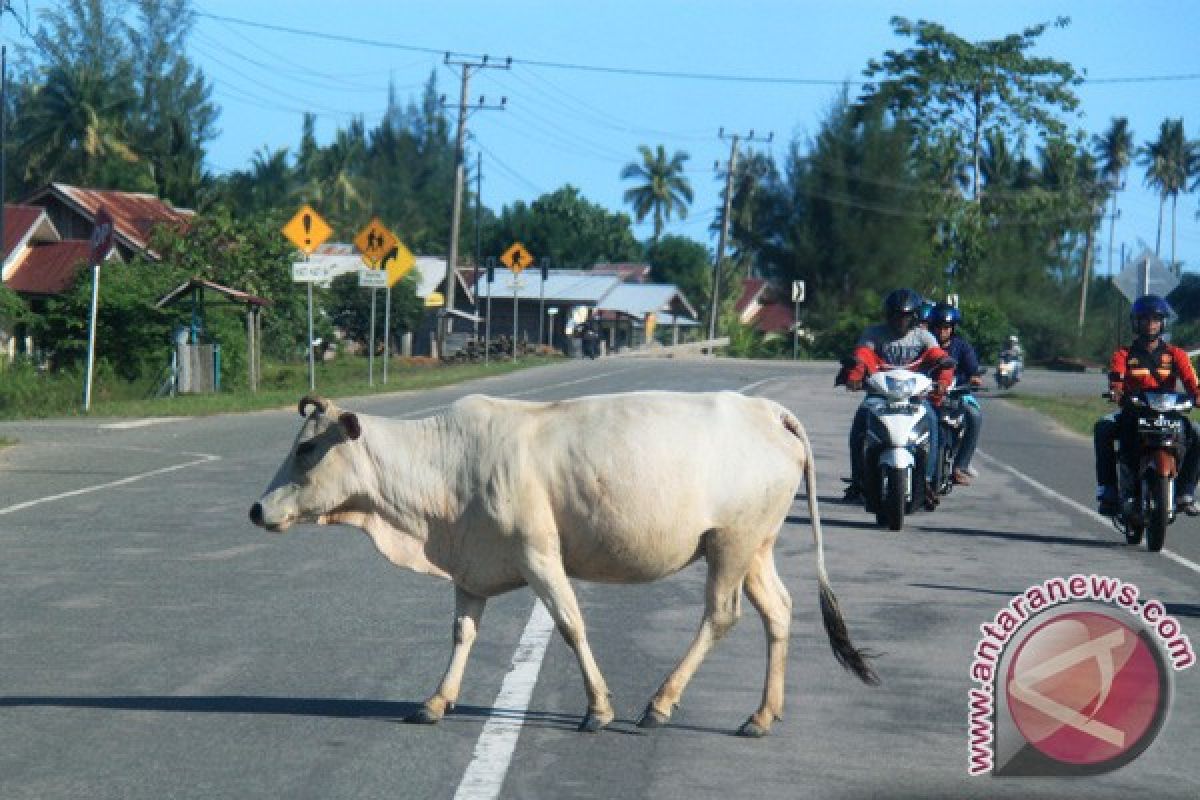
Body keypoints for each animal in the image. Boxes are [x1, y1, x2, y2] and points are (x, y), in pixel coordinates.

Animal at [248, 391, 878, 734]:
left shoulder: (539, 554)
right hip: (754, 548)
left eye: (307, 448)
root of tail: (769, 412)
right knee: (779, 611)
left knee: (721, 616)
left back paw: (660, 703)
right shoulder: (471, 564)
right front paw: (436, 700)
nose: (256, 508)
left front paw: (598, 708)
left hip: (730, 542)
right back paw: (762, 715)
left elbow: (571, 624)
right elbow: (462, 632)